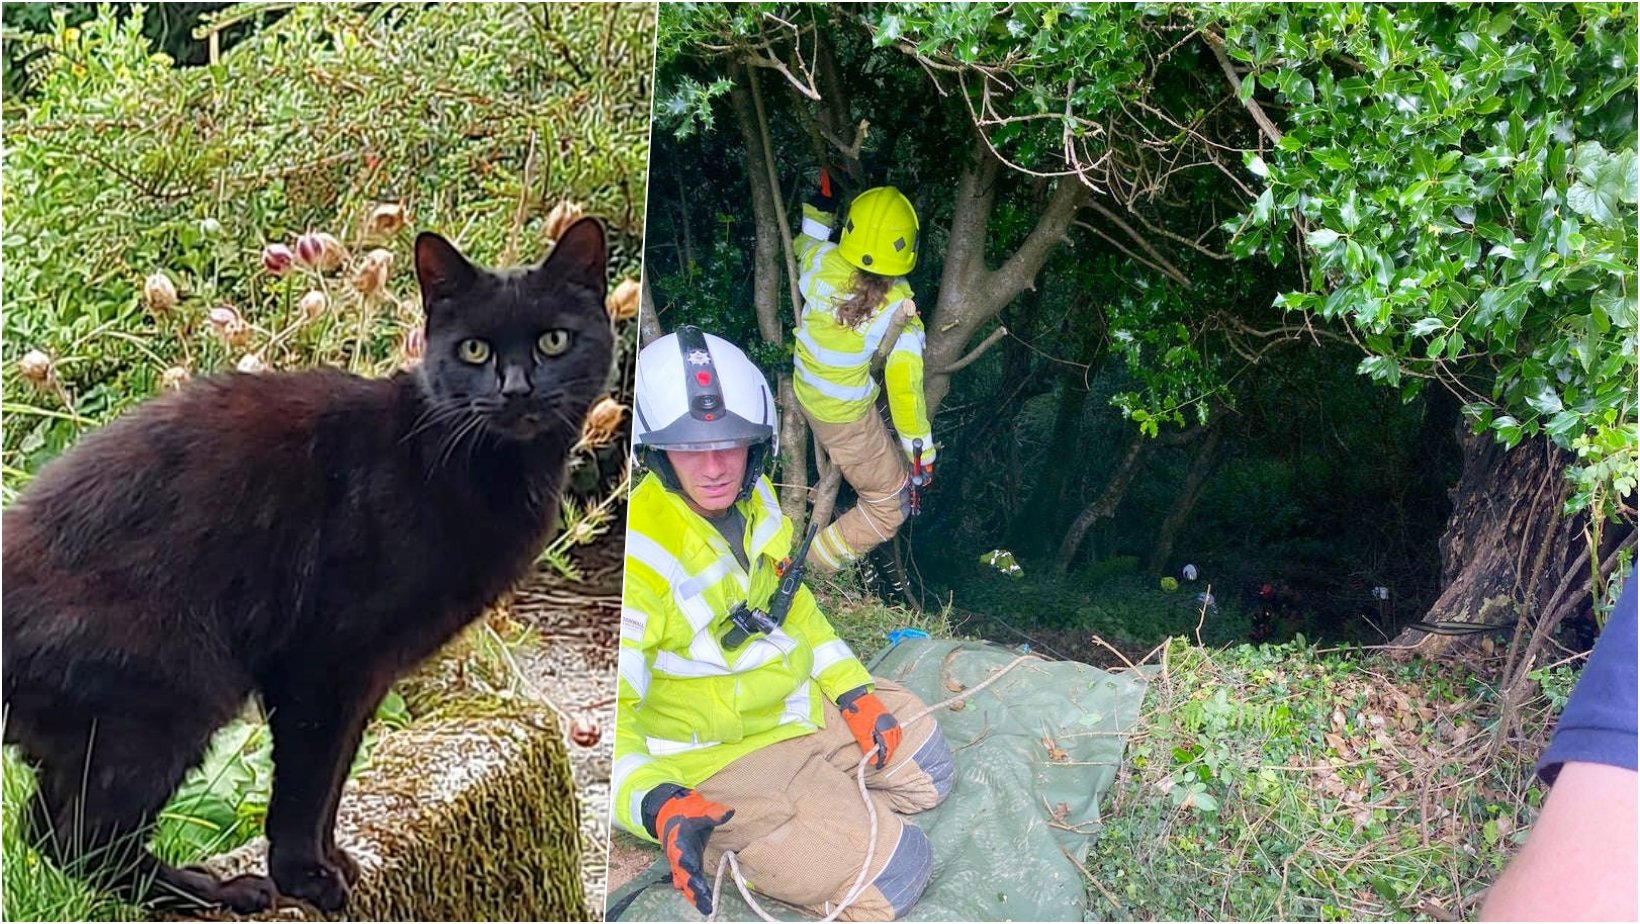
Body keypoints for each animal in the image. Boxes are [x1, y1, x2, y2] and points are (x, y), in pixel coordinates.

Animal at [0, 219, 616, 912]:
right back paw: (210, 891)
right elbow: (306, 781)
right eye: (476, 351)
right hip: (173, 692)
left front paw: (334, 861)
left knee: (46, 826)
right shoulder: (324, 660)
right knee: (77, 835)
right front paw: (305, 877)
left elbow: (334, 776)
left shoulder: (366, 675)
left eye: (553, 341)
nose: (516, 388)